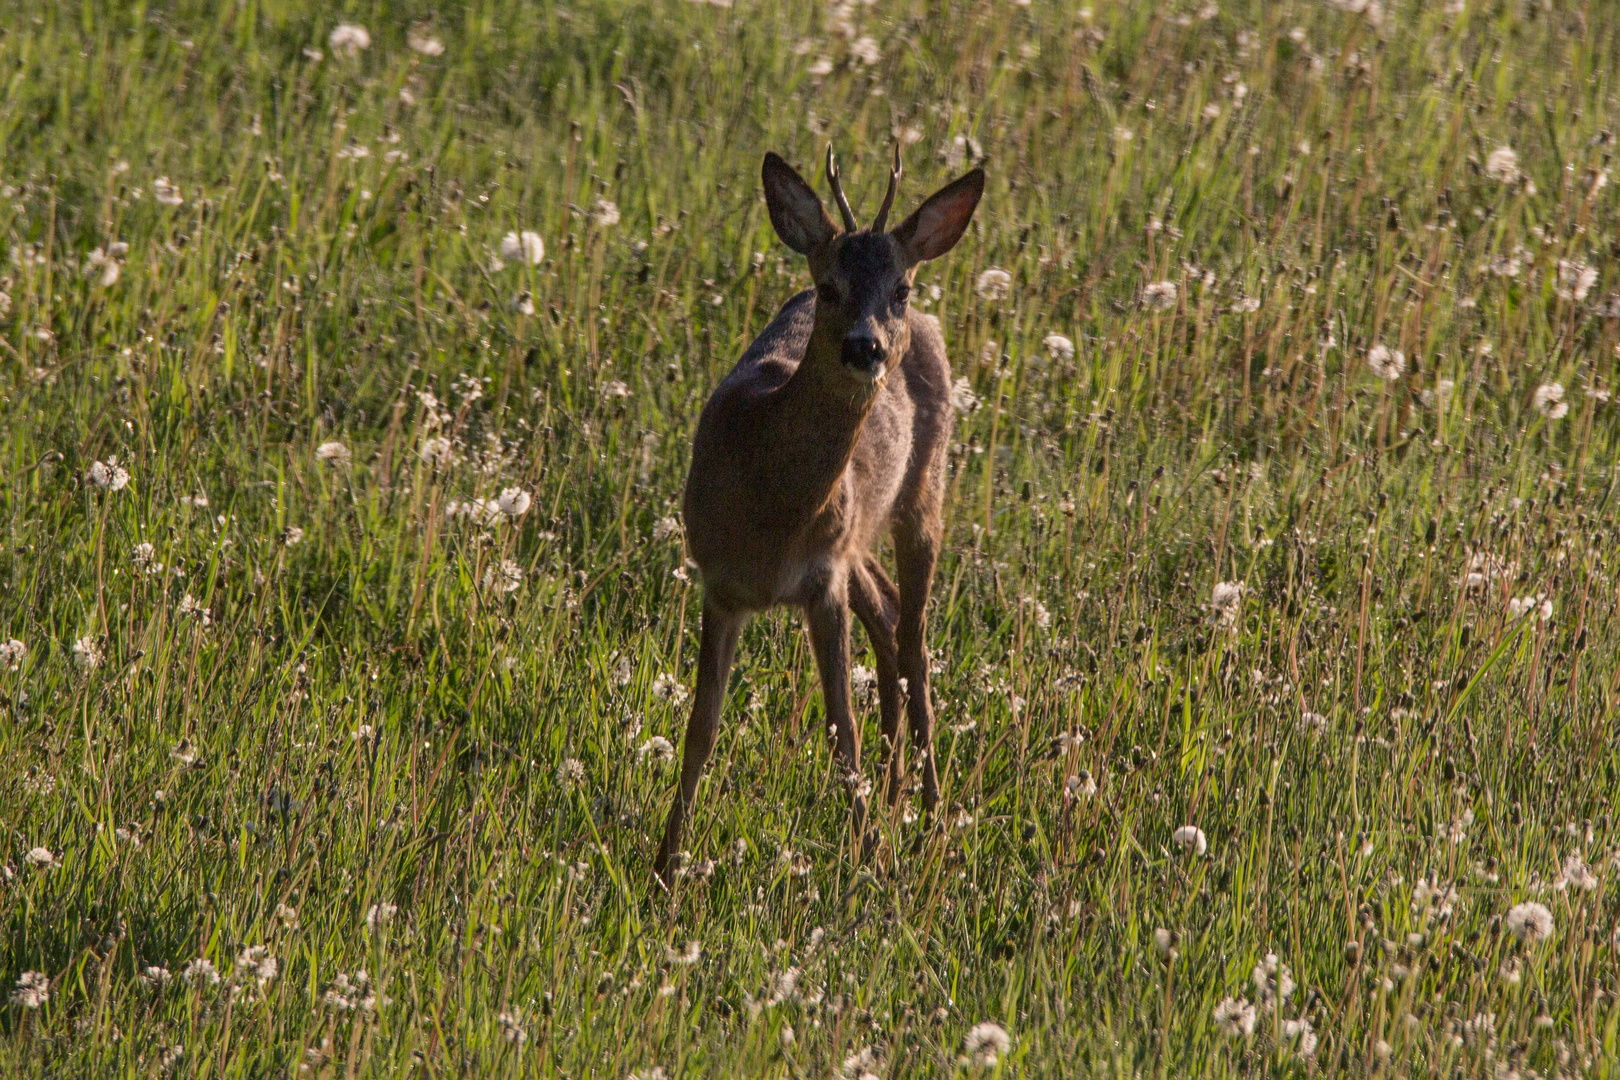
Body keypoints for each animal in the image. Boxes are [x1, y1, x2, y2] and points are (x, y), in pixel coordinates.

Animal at [651, 145, 978, 887]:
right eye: (829, 287)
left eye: (899, 289)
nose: (866, 347)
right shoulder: (722, 583)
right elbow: (700, 730)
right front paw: (665, 866)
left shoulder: (822, 581)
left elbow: (841, 733)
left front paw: (866, 864)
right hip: (859, 536)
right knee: (887, 611)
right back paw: (896, 794)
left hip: (924, 492)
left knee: (914, 637)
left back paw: (930, 815)